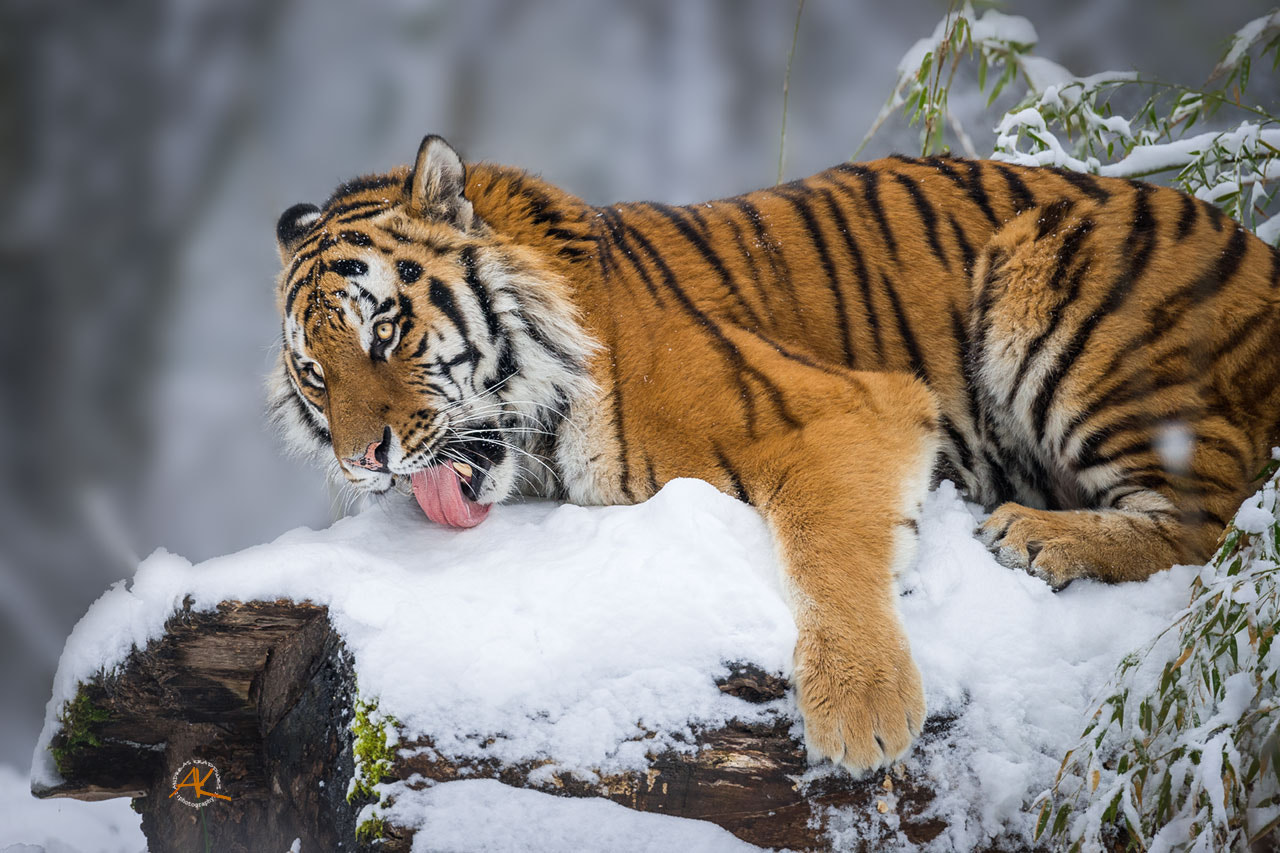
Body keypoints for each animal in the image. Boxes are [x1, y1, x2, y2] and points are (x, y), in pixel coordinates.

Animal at [267, 133, 1280, 768]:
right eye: (315, 372)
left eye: (387, 330)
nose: (364, 459)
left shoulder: (836, 408)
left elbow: (826, 549)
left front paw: (861, 709)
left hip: (1061, 282)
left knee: (1212, 525)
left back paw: (1040, 535)